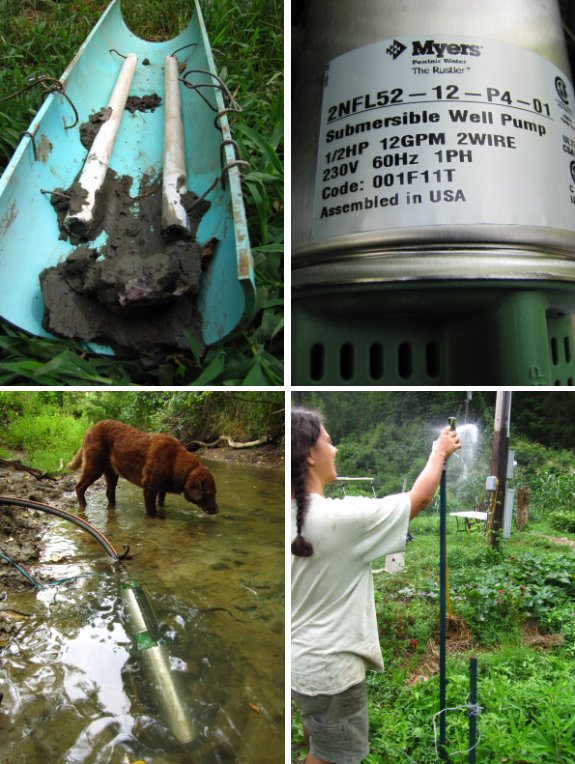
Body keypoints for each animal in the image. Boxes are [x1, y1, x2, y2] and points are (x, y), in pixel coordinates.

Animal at [67, 418, 219, 520]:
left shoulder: (162, 489)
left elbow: (161, 503)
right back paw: (83, 507)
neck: (175, 462)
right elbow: (151, 511)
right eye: (209, 493)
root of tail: (89, 429)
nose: (217, 511)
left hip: (112, 473)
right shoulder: (149, 488)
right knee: (79, 487)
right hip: (94, 467)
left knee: (109, 493)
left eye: (214, 493)